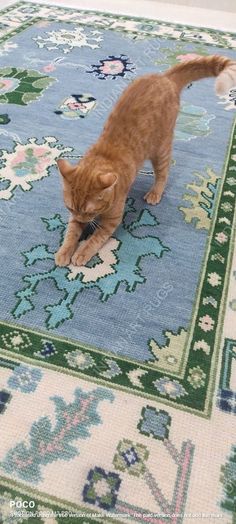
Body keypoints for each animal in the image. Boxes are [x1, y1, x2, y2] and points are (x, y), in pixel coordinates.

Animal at [55, 55, 236, 266]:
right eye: (70, 208)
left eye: (89, 212)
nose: (83, 220)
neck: (102, 158)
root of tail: (165, 77)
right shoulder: (74, 217)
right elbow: (71, 233)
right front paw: (65, 251)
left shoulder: (111, 221)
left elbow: (96, 238)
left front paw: (82, 252)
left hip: (160, 150)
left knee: (163, 174)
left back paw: (155, 192)